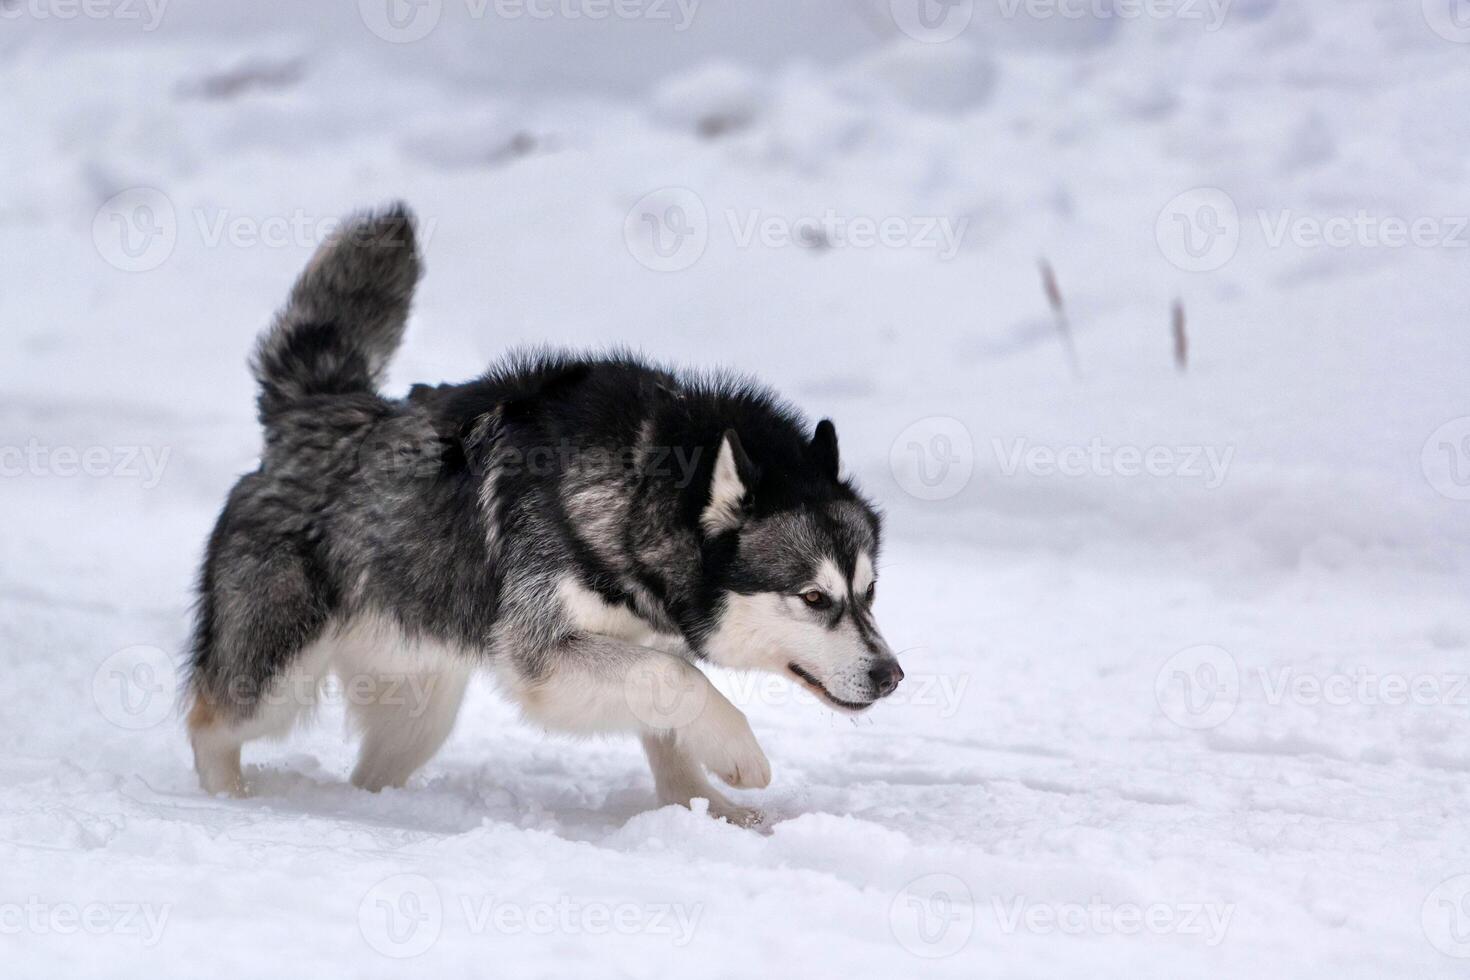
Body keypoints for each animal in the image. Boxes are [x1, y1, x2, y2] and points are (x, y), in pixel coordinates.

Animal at [189, 207, 899, 828]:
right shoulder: (548, 659)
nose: (890, 676)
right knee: (209, 725)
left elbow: (669, 717)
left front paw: (711, 810)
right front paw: (740, 755)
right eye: (813, 597)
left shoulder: (641, 642)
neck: (634, 494)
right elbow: (680, 679)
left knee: (370, 771)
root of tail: (316, 410)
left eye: (868, 592)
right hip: (276, 677)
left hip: (419, 708)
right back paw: (228, 802)